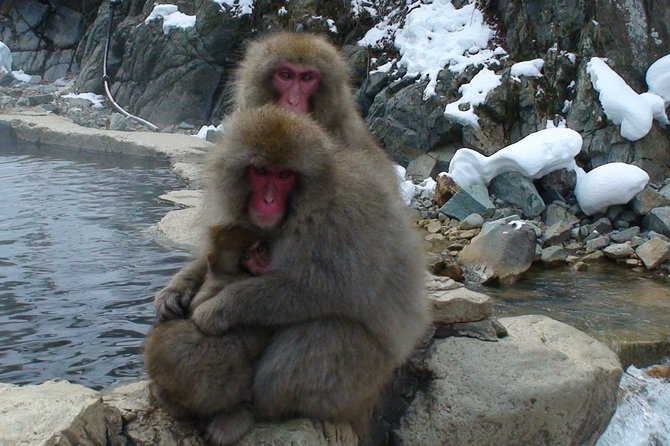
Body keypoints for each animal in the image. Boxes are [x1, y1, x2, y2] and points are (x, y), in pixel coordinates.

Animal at [146, 105, 430, 445]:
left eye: (284, 176)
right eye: (260, 171)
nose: (267, 201)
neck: (302, 207)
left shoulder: (342, 220)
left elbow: (322, 290)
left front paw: (217, 310)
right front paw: (176, 290)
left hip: (362, 381)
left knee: (325, 329)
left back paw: (251, 410)